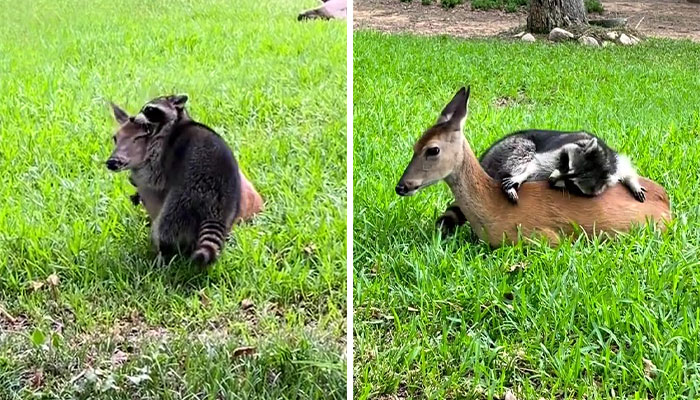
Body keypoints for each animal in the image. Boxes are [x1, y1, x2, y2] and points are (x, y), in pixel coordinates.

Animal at [107, 95, 241, 266]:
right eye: (115, 139)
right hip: (231, 210)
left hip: (187, 196)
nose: (133, 118)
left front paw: (136, 177)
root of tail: (218, 206)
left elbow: (155, 176)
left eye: (148, 109)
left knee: (166, 226)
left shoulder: (165, 148)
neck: (179, 120)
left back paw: (164, 254)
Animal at [479, 129, 646, 203]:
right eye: (566, 165)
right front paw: (521, 175)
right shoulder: (556, 151)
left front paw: (633, 183)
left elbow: (625, 168)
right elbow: (536, 163)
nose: (551, 180)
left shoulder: (613, 162)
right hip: (507, 148)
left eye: (572, 185)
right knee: (524, 149)